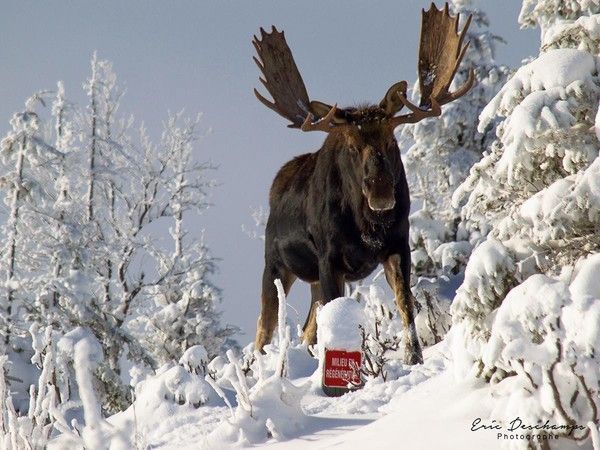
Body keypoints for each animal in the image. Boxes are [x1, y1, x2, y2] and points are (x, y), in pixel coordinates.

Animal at [252, 1, 474, 364]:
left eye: (391, 140)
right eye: (352, 147)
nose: (381, 192)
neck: (367, 228)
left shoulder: (398, 245)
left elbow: (406, 304)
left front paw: (414, 357)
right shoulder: (329, 258)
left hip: (309, 278)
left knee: (307, 328)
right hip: (275, 264)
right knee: (264, 329)